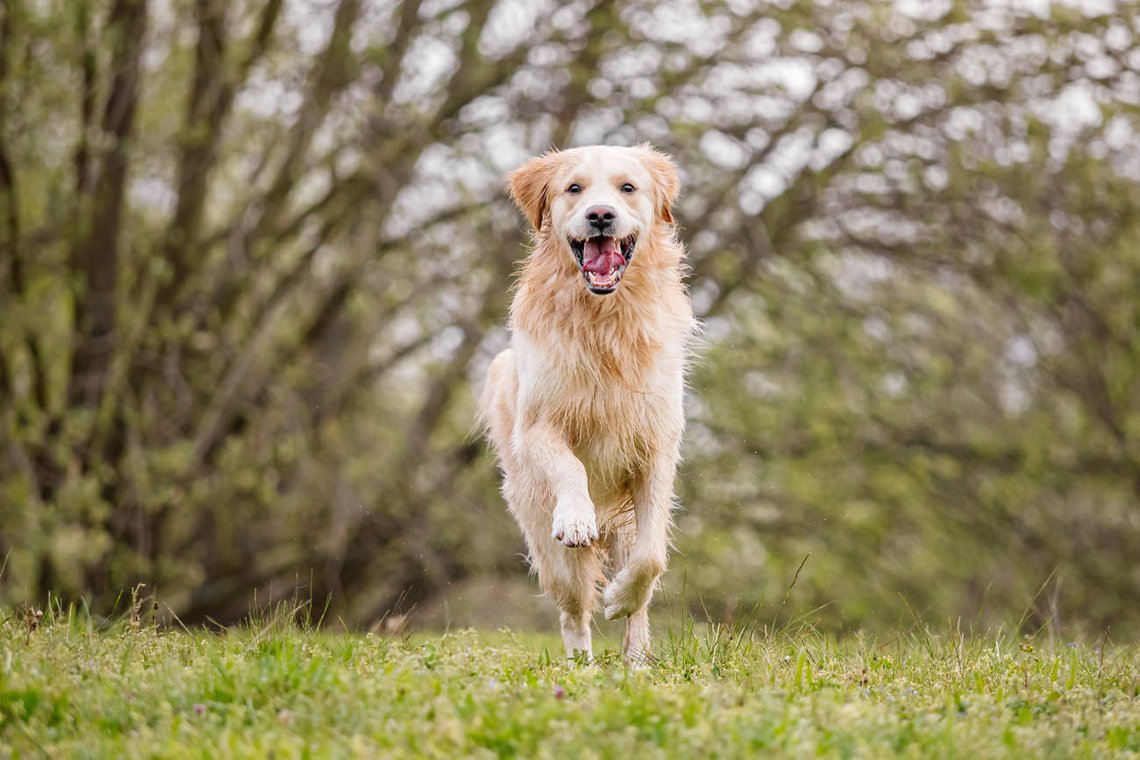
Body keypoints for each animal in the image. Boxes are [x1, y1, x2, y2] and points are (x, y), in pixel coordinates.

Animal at [474, 144, 688, 665]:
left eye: (627, 187)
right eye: (574, 188)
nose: (601, 215)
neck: (603, 319)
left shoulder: (656, 446)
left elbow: (651, 557)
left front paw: (620, 600)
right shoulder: (538, 426)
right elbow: (571, 467)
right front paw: (575, 517)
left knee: (639, 585)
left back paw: (636, 658)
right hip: (543, 536)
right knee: (572, 609)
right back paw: (581, 667)